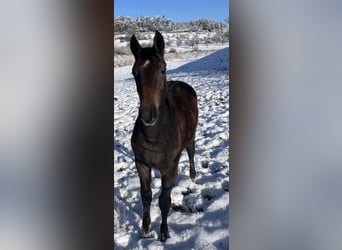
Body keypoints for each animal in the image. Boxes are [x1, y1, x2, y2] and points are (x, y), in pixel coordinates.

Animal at [130, 30, 200, 241]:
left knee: (191, 152)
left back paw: (193, 177)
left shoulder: (169, 167)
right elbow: (146, 195)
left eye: (163, 68)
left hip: (191, 137)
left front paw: (164, 232)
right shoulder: (141, 163)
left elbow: (164, 200)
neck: (155, 135)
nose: (148, 115)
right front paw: (145, 229)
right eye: (134, 72)